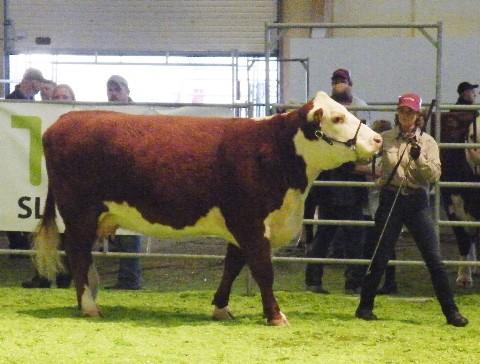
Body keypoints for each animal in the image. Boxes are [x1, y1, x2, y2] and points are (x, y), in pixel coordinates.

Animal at [32, 91, 382, 324]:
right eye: (337, 118)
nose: (378, 140)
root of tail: (62, 121)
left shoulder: (239, 225)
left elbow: (233, 266)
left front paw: (221, 307)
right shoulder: (250, 221)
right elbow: (262, 269)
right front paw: (275, 315)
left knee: (83, 256)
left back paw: (88, 298)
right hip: (80, 212)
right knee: (77, 253)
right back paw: (90, 306)